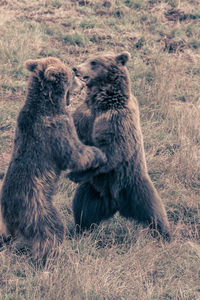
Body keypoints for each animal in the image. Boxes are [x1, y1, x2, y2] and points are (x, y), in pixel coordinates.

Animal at [0, 56, 106, 264]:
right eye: (72, 75)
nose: (83, 82)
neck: (47, 102)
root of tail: (10, 211)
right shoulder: (57, 129)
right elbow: (73, 153)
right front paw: (98, 154)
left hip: (9, 221)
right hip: (39, 211)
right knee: (51, 232)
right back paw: (52, 258)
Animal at [68, 51, 170, 239]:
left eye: (94, 62)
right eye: (88, 59)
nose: (76, 68)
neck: (103, 101)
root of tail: (115, 202)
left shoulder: (117, 119)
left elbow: (113, 149)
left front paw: (75, 174)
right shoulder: (86, 116)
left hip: (134, 185)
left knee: (153, 211)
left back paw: (164, 234)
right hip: (93, 190)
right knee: (82, 208)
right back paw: (79, 230)